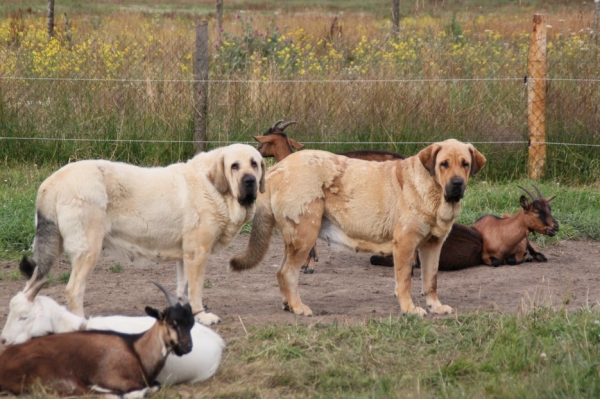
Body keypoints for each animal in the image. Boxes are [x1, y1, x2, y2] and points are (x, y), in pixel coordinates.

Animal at [21, 145, 264, 326]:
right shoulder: (198, 254)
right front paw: (202, 316)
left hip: (52, 249)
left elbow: (183, 289)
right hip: (88, 250)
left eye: (254, 163)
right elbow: (196, 290)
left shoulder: (186, 256)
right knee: (73, 290)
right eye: (234, 166)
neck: (212, 186)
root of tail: (50, 184)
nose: (250, 181)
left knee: (30, 287)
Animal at [230, 139, 488, 318]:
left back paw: (288, 304)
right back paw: (298, 307)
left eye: (465, 164)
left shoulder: (432, 246)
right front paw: (409, 309)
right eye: (444, 164)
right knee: (287, 273)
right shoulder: (405, 244)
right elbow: (405, 280)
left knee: (281, 272)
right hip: (305, 236)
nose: (457, 184)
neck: (431, 190)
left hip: (296, 239)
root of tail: (278, 168)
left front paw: (435, 306)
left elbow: (431, 281)